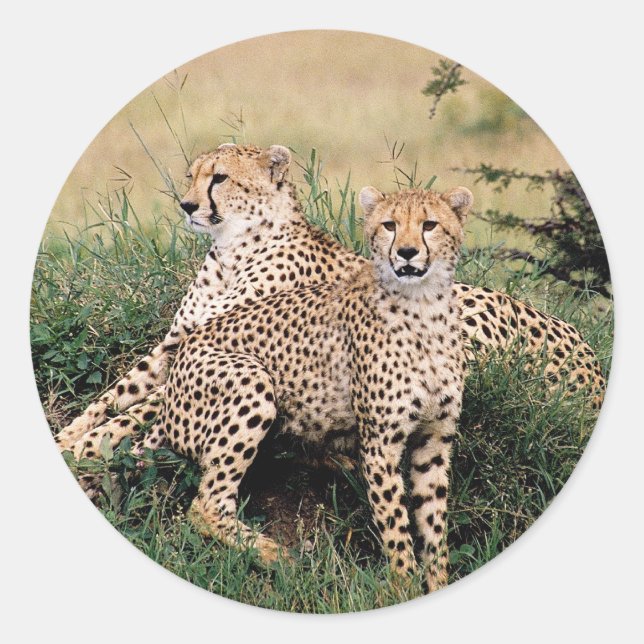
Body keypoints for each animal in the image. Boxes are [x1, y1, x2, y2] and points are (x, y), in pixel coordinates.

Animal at [55, 143, 606, 465]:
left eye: (219, 178)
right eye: (192, 176)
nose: (187, 205)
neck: (233, 251)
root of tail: (588, 354)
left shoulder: (214, 353)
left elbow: (132, 412)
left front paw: (84, 449)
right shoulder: (176, 347)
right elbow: (108, 397)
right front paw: (66, 438)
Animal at [146, 185, 473, 591]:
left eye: (429, 225)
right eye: (389, 225)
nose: (408, 252)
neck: (424, 305)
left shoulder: (435, 440)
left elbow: (433, 524)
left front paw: (437, 583)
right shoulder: (381, 444)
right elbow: (395, 525)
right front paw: (403, 586)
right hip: (252, 379)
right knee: (207, 503)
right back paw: (275, 555)